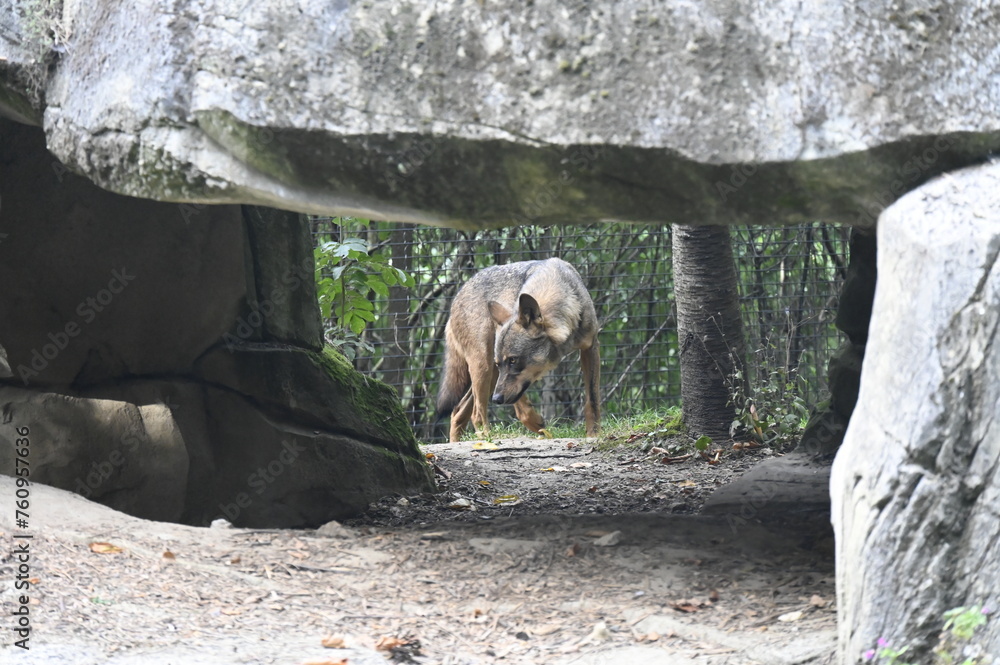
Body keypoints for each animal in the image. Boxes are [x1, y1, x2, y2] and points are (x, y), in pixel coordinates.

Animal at [434, 258, 596, 440]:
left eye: (513, 360)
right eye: (508, 361)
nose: (496, 399)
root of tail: (455, 300)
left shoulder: (591, 347)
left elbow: (592, 400)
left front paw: (594, 433)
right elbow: (519, 406)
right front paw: (533, 421)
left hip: (490, 373)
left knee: (458, 411)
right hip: (484, 366)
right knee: (476, 414)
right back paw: (488, 439)